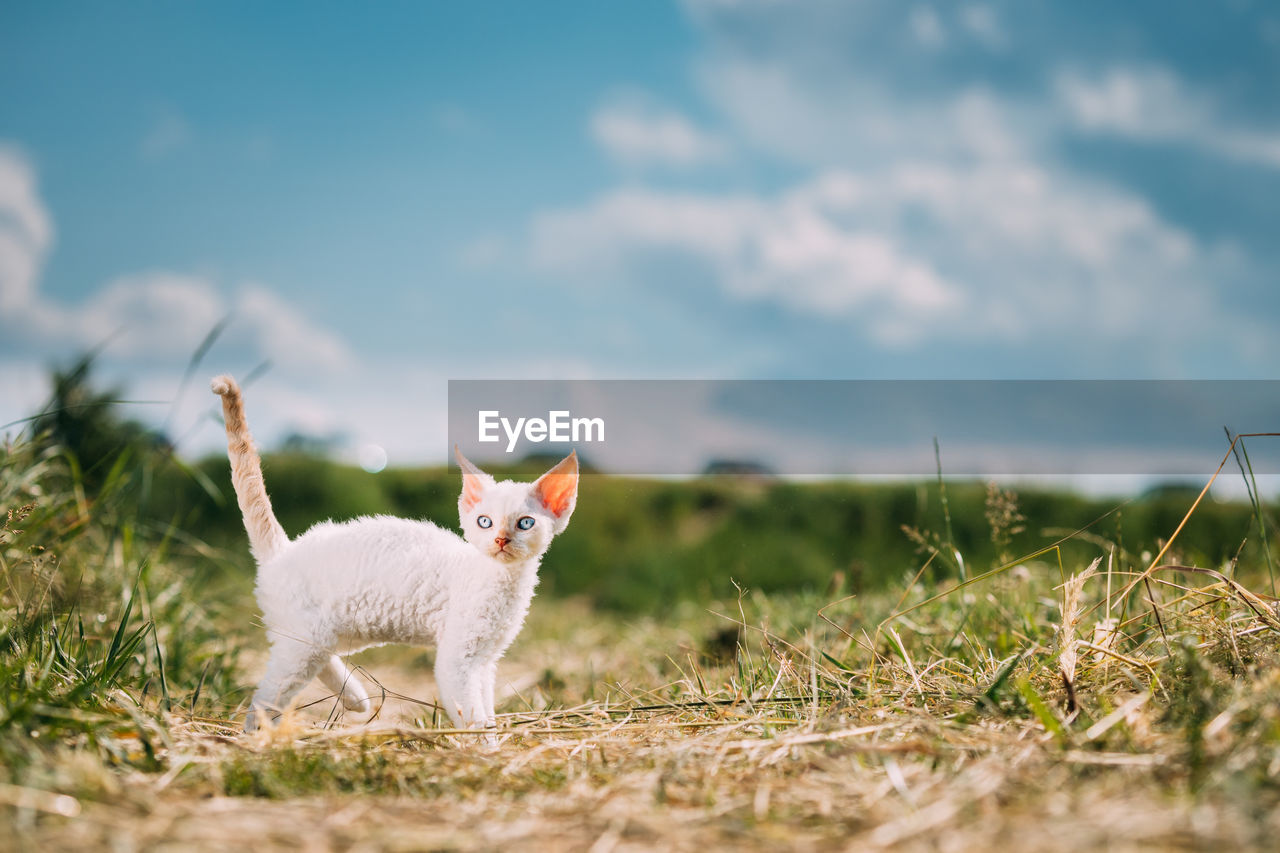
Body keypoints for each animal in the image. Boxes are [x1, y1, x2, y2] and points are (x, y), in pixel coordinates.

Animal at [211, 371, 581, 732]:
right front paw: (482, 746)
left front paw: (495, 736)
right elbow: (472, 716)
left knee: (312, 664)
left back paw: (354, 698)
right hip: (306, 637)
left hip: (330, 633)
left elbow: (486, 708)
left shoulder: (486, 660)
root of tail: (282, 550)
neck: (501, 582)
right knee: (265, 698)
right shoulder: (458, 660)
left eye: (525, 523)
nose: (501, 540)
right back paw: (262, 737)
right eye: (485, 522)